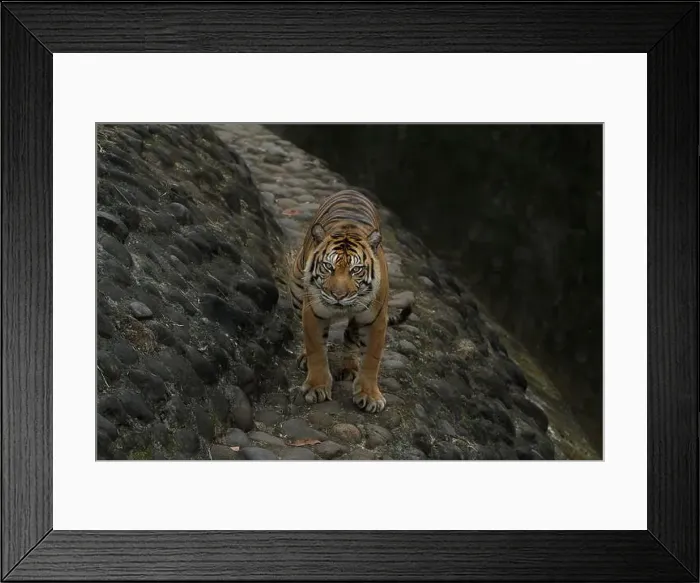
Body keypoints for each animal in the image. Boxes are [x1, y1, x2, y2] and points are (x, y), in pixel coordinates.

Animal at [288, 189, 411, 413]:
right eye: (328, 267)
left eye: (356, 270)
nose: (339, 295)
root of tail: (351, 190)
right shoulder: (313, 311)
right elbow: (316, 348)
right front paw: (317, 387)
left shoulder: (376, 320)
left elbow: (372, 358)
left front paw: (369, 395)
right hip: (296, 290)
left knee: (350, 335)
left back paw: (349, 366)